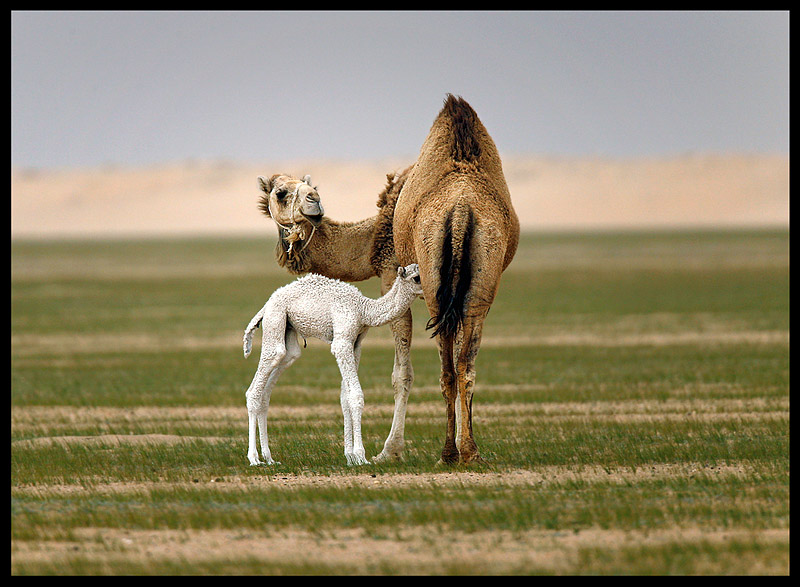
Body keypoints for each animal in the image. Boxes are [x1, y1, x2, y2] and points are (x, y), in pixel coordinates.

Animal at [242, 264, 422, 466]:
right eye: (416, 278)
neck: (363, 310)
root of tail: (266, 305)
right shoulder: (342, 341)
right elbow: (355, 396)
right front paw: (361, 456)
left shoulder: (356, 344)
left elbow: (345, 397)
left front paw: (350, 457)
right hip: (275, 319)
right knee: (257, 385)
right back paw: (254, 458)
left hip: (288, 331)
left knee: (270, 385)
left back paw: (269, 458)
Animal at [255, 167, 416, 464]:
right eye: (280, 193)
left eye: (312, 187)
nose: (314, 200)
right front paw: (354, 452)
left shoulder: (390, 276)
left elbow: (397, 375)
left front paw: (375, 451)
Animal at [392, 95, 520, 464]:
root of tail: (461, 209)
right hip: (477, 292)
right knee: (464, 365)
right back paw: (464, 451)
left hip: (441, 291)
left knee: (452, 368)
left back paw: (455, 451)